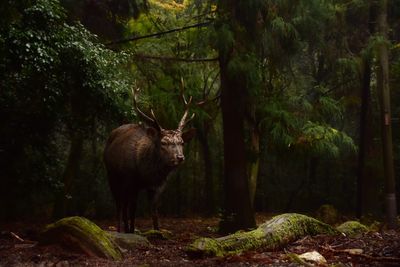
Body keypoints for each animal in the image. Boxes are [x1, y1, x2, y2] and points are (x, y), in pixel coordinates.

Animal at [104, 89, 196, 233]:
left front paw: (157, 231)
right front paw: (131, 230)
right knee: (119, 204)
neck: (146, 174)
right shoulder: (132, 182)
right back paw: (120, 229)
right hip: (112, 176)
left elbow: (154, 211)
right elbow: (133, 210)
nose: (180, 157)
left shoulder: (157, 186)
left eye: (181, 142)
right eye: (163, 142)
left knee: (124, 204)